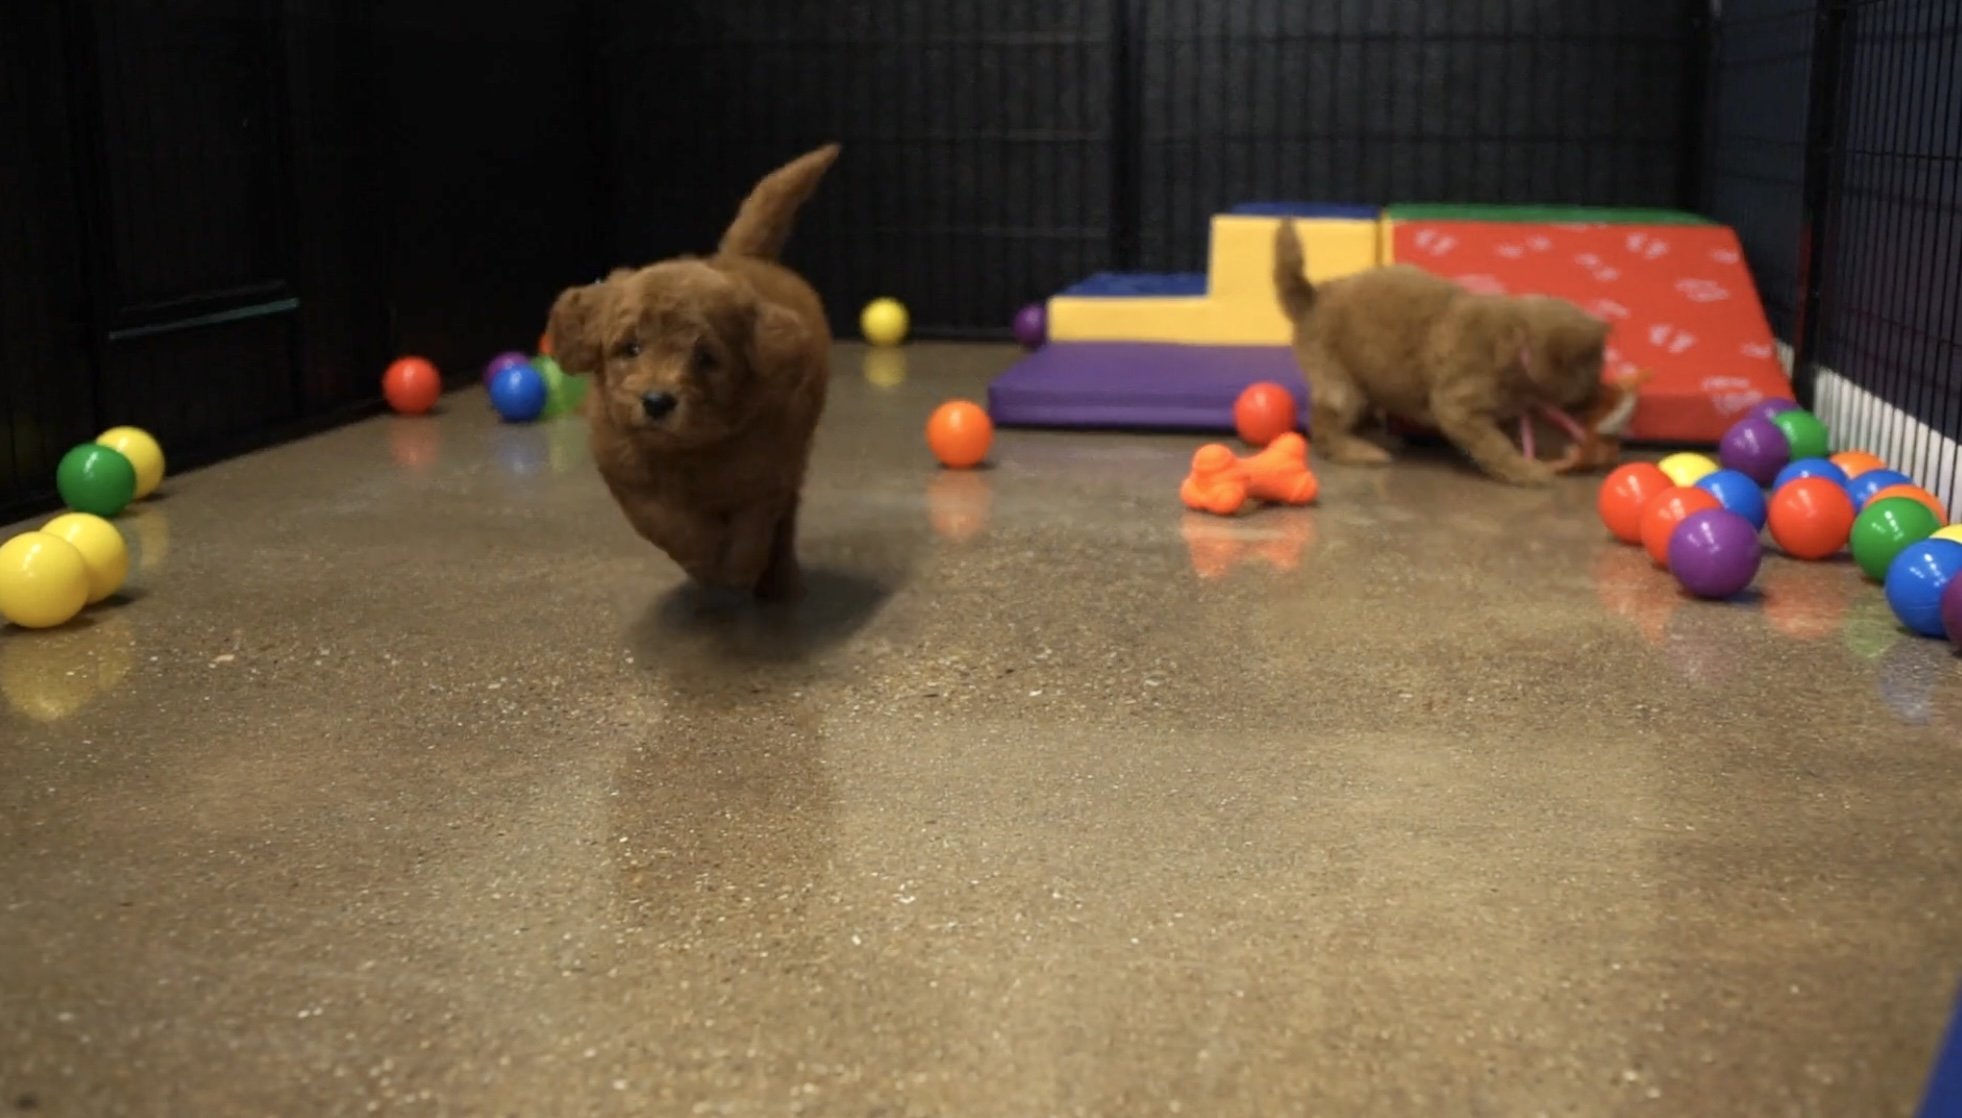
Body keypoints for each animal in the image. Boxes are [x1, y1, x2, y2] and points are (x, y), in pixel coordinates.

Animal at [549, 143, 839, 596]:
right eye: (630, 348)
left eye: (706, 358)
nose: (656, 401)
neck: (687, 452)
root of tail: (741, 257)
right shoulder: (626, 473)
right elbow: (671, 524)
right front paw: (703, 559)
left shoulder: (767, 470)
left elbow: (751, 530)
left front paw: (739, 569)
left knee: (785, 519)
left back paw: (777, 580)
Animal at [1271, 217, 1608, 482]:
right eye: (1593, 371)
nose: (1598, 393)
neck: (1519, 342)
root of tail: (1314, 298)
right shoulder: (1457, 405)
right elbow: (1495, 444)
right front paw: (1527, 470)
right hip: (1341, 385)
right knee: (1326, 429)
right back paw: (1360, 450)